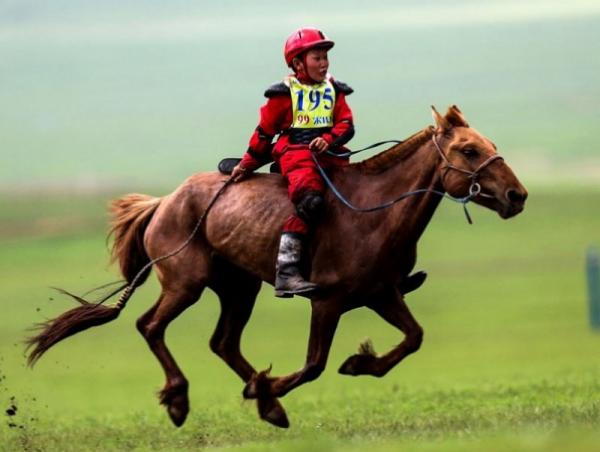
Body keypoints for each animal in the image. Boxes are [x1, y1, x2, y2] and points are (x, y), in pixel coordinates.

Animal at [27, 106, 524, 430]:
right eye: (469, 150)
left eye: (492, 146)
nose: (516, 196)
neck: (373, 212)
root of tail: (164, 201)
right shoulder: (327, 301)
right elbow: (314, 365)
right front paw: (271, 390)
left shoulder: (382, 293)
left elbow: (413, 338)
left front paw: (353, 365)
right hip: (186, 284)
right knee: (150, 326)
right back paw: (181, 400)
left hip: (239, 289)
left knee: (223, 342)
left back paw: (260, 400)